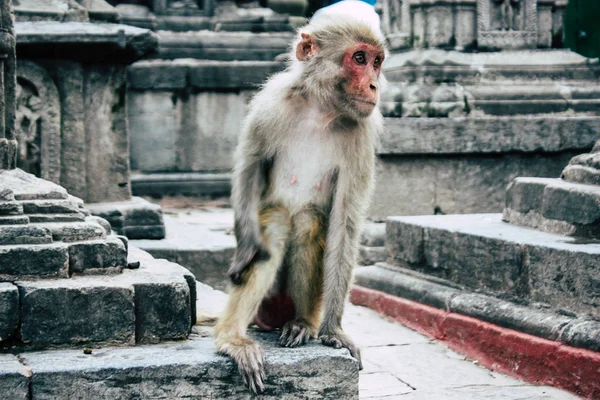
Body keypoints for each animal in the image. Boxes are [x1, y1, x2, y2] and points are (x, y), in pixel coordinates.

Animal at [213, 7, 386, 394]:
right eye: (359, 59)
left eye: (377, 62)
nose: (374, 86)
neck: (319, 110)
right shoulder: (269, 105)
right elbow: (249, 166)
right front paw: (246, 248)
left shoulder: (362, 135)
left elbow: (344, 223)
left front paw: (334, 331)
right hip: (264, 310)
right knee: (275, 228)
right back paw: (232, 338)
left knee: (308, 223)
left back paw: (302, 324)